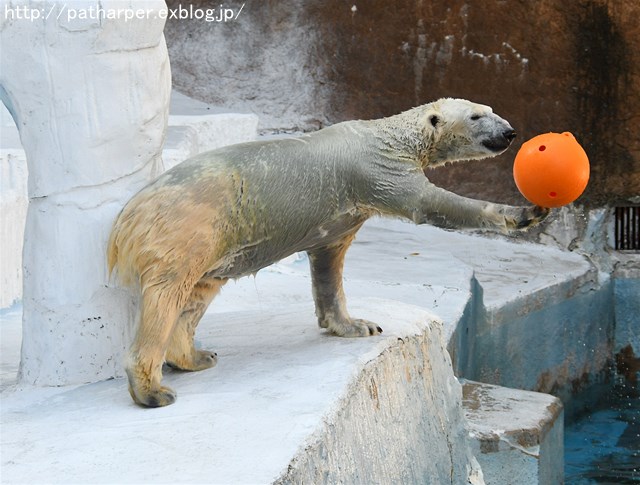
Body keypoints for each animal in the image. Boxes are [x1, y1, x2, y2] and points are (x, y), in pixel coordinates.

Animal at [107, 97, 548, 404]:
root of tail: (124, 224)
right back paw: (153, 390)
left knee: (199, 292)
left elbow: (328, 264)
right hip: (188, 228)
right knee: (168, 293)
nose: (510, 132)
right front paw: (525, 213)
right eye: (475, 116)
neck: (389, 136)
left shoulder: (344, 216)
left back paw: (196, 356)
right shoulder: (379, 173)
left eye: (491, 110)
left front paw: (357, 325)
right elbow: (432, 204)